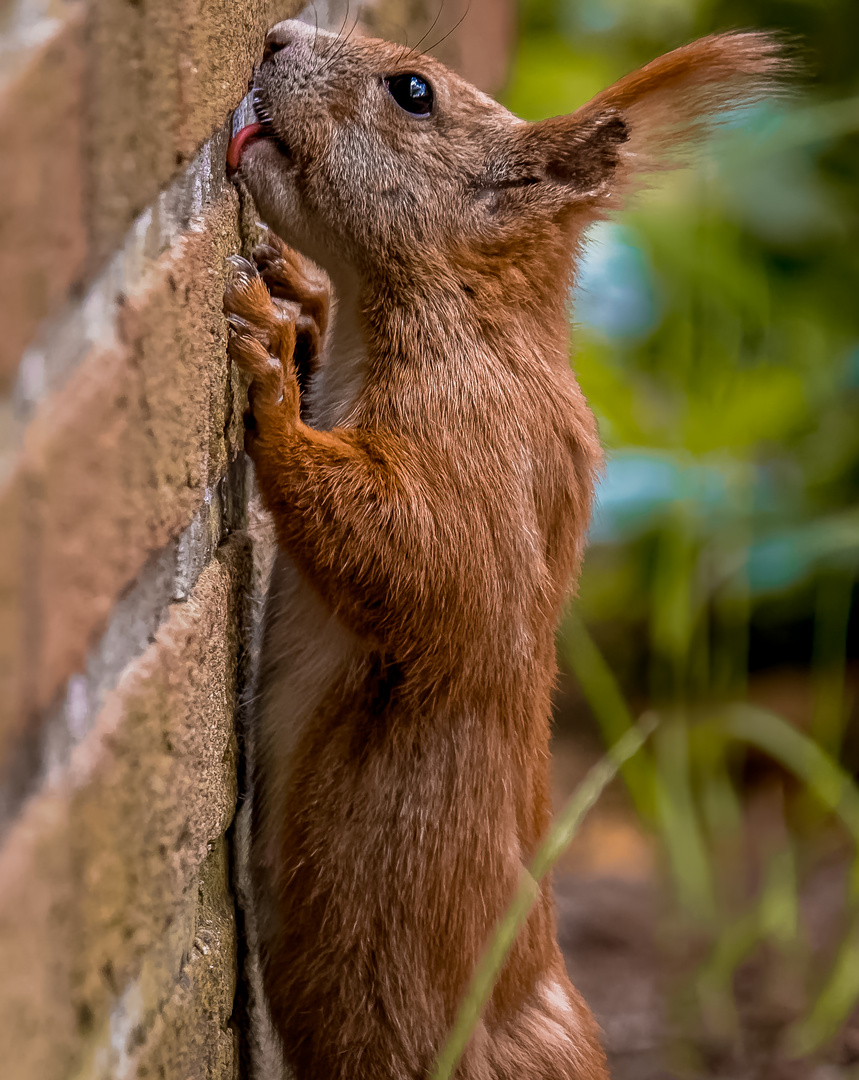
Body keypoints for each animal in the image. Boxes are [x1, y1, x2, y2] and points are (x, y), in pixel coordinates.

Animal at [223, 23, 786, 1080]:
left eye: (413, 92)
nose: (278, 35)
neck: (468, 316)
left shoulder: (478, 456)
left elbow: (418, 567)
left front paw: (270, 379)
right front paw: (299, 303)